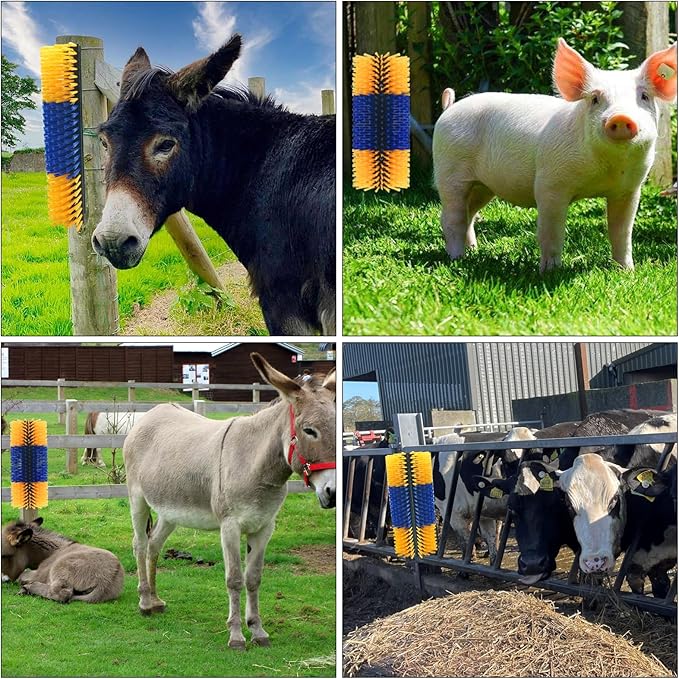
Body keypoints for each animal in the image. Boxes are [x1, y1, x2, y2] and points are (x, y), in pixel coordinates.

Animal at [123, 353, 336, 649]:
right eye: (310, 431)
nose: (333, 492)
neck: (255, 465)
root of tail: (153, 412)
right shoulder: (230, 526)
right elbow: (234, 579)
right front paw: (236, 636)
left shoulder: (264, 527)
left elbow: (254, 578)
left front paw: (258, 630)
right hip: (137, 498)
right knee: (140, 544)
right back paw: (144, 602)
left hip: (170, 510)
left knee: (154, 544)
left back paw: (155, 600)